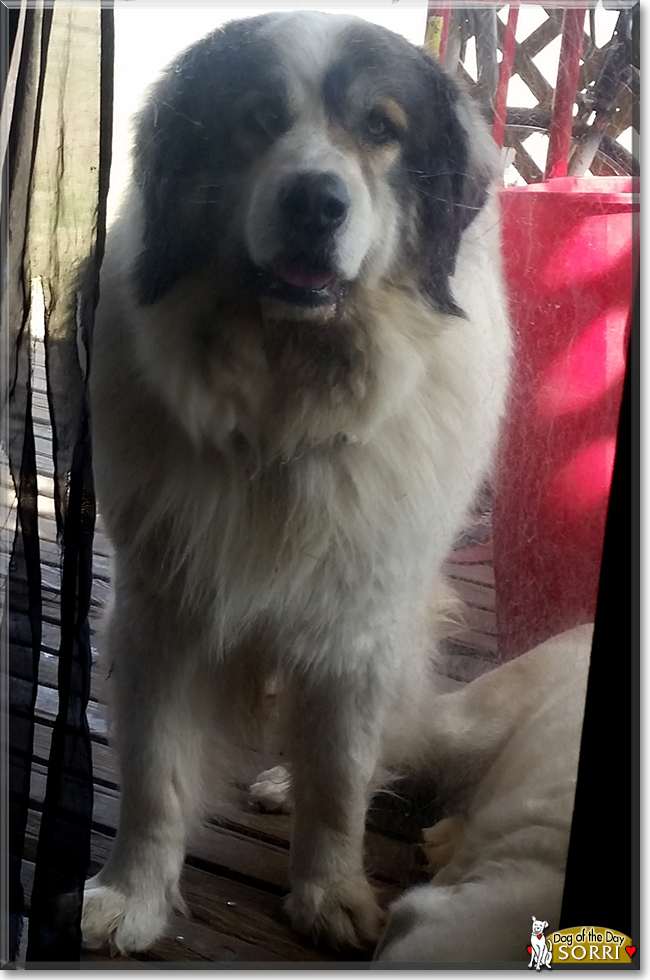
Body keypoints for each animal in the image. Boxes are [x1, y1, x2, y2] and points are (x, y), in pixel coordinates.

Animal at [83, 9, 512, 956]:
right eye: (256, 121)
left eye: (381, 130)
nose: (316, 201)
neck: (289, 409)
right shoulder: (159, 607)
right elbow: (153, 776)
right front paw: (132, 897)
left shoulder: (360, 628)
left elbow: (339, 779)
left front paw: (330, 895)